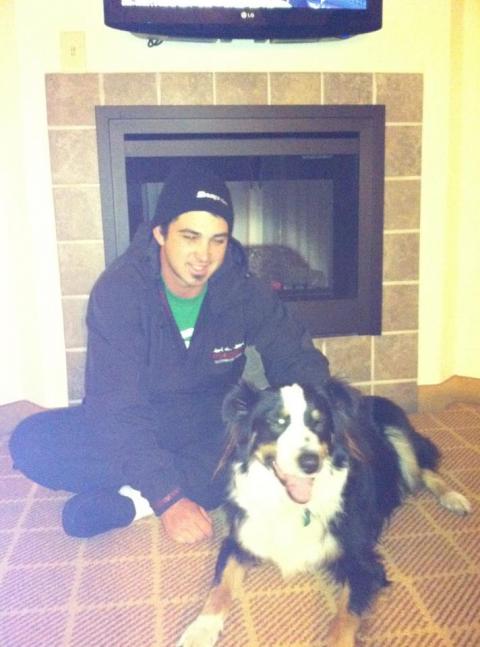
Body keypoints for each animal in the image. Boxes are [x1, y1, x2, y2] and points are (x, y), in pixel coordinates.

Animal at [178, 379, 471, 647]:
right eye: (278, 422)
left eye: (318, 423)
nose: (310, 463)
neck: (294, 506)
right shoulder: (240, 539)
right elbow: (219, 586)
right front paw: (199, 631)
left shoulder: (362, 562)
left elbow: (343, 619)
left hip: (399, 438)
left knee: (423, 470)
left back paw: (454, 498)